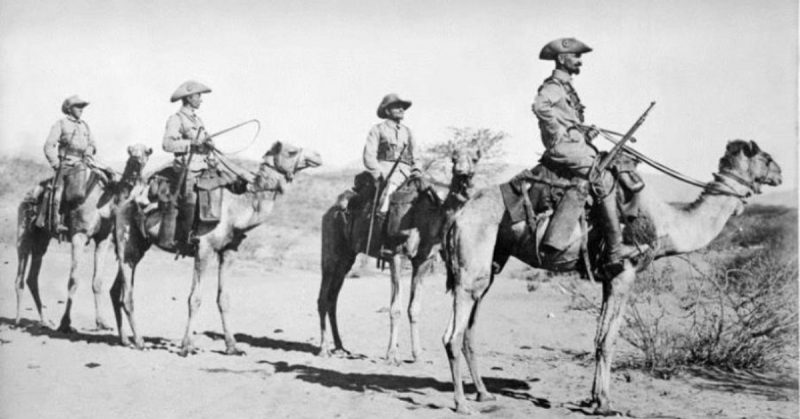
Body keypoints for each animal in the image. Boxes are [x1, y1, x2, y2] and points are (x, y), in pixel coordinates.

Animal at [15, 146, 152, 334]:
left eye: (147, 152)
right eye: (131, 152)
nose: (137, 160)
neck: (105, 199)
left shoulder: (103, 239)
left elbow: (97, 281)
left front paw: (102, 322)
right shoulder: (78, 235)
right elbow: (73, 280)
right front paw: (65, 323)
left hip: (41, 240)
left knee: (32, 278)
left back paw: (45, 321)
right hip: (24, 233)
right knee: (20, 275)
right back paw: (17, 320)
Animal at [111, 141, 322, 354]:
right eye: (291, 151)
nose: (317, 157)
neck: (236, 210)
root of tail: (125, 200)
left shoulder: (228, 251)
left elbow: (223, 299)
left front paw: (232, 346)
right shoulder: (204, 249)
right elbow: (195, 298)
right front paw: (186, 346)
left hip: (137, 247)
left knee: (117, 290)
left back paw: (125, 340)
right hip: (127, 241)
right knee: (127, 295)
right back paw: (140, 342)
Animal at [318, 148, 482, 364]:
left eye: (475, 159)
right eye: (454, 160)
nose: (463, 175)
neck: (426, 216)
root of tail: (330, 211)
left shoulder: (423, 261)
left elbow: (414, 308)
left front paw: (417, 354)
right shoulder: (396, 256)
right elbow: (395, 308)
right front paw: (391, 354)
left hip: (347, 257)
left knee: (333, 298)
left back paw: (340, 347)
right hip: (331, 251)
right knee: (323, 296)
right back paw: (323, 349)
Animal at [438, 139, 780, 416]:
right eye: (766, 157)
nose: (780, 173)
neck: (667, 225)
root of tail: (458, 216)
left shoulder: (607, 278)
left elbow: (599, 336)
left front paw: (592, 399)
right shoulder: (623, 274)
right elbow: (609, 339)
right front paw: (604, 404)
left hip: (492, 262)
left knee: (469, 328)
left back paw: (483, 394)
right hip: (472, 262)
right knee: (452, 333)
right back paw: (462, 404)